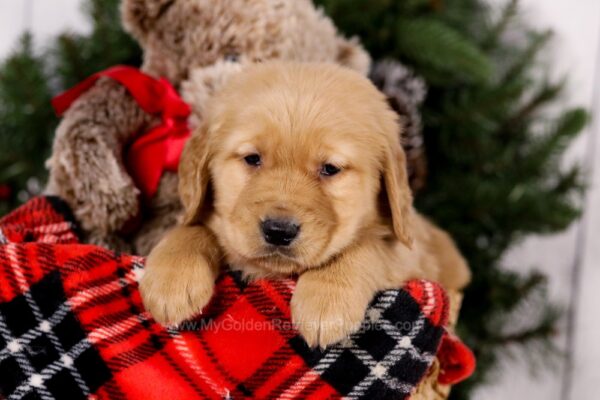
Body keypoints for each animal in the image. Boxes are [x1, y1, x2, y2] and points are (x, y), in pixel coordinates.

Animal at [141, 61, 468, 348]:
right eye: (252, 158)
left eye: (330, 169)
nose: (279, 231)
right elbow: (192, 228)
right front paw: (172, 279)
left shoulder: (412, 255)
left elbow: (368, 246)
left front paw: (326, 300)